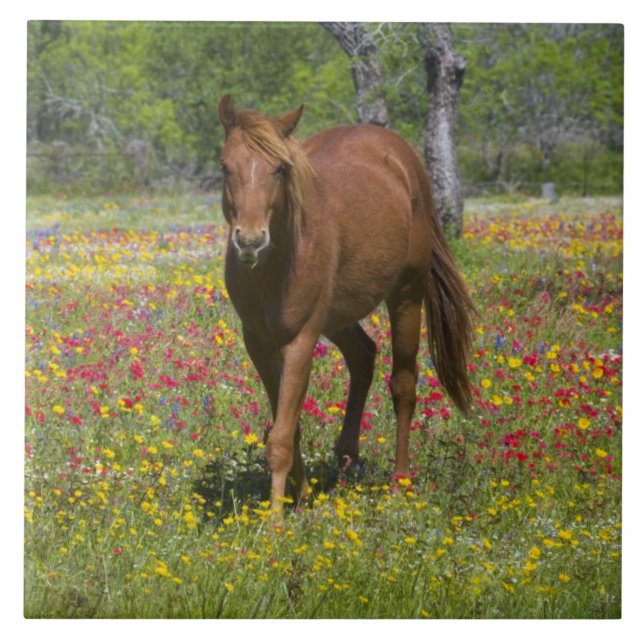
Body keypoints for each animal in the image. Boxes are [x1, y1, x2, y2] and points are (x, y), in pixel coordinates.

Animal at [217, 95, 475, 522]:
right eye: (225, 166)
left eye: (280, 168)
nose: (251, 241)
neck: (275, 266)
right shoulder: (259, 342)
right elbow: (289, 424)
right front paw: (300, 499)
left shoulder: (300, 341)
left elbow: (282, 435)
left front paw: (275, 523)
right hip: (339, 316)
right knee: (363, 356)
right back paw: (346, 456)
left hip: (406, 296)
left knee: (403, 384)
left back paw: (399, 483)